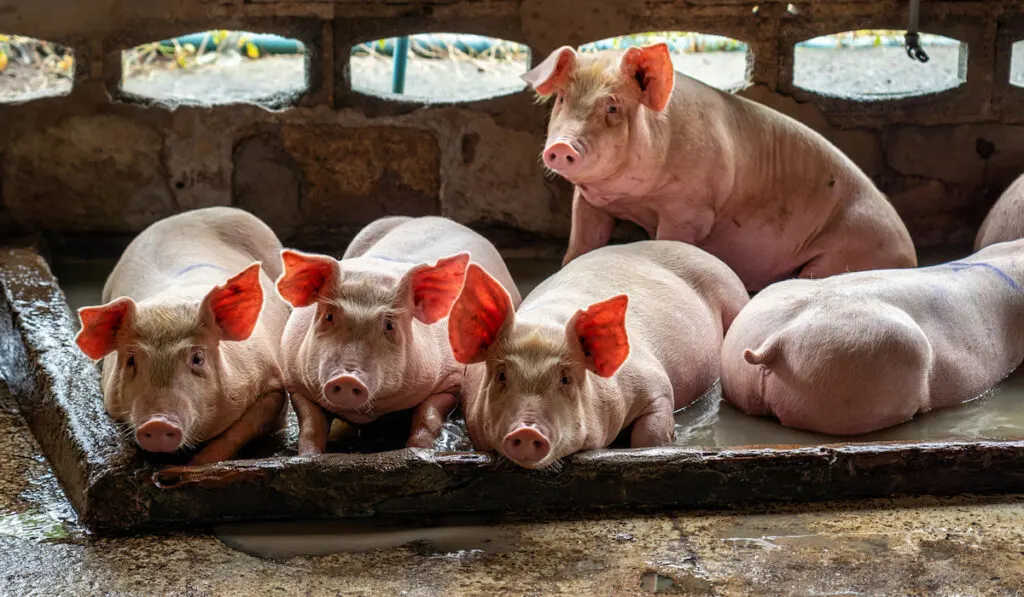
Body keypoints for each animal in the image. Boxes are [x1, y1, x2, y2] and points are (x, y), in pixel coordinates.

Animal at [74, 207, 290, 464]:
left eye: (197, 358)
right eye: (131, 361)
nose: (157, 423)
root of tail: (192, 212)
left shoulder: (273, 383)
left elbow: (240, 430)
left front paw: (195, 465)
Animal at [278, 215, 524, 452]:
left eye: (389, 325)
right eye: (329, 316)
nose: (347, 378)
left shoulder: (449, 380)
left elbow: (428, 418)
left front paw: (415, 450)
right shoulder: (295, 381)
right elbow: (310, 428)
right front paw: (308, 456)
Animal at [446, 240, 745, 468]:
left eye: (565, 379)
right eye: (501, 375)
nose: (527, 430)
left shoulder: (656, 382)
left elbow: (650, 435)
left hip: (733, 294)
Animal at [524, 42, 917, 292]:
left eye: (612, 107)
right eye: (562, 98)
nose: (560, 147)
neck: (634, 200)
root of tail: (910, 255)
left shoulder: (691, 210)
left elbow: (668, 245)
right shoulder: (590, 201)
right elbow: (581, 244)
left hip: (848, 251)